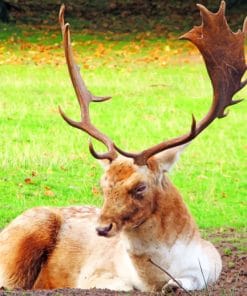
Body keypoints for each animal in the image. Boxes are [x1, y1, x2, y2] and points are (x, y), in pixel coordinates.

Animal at [0, 1, 247, 292]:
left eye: (140, 187)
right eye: (103, 184)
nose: (102, 228)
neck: (153, 278)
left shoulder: (210, 267)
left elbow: (182, 284)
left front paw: (173, 285)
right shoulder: (92, 274)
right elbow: (123, 286)